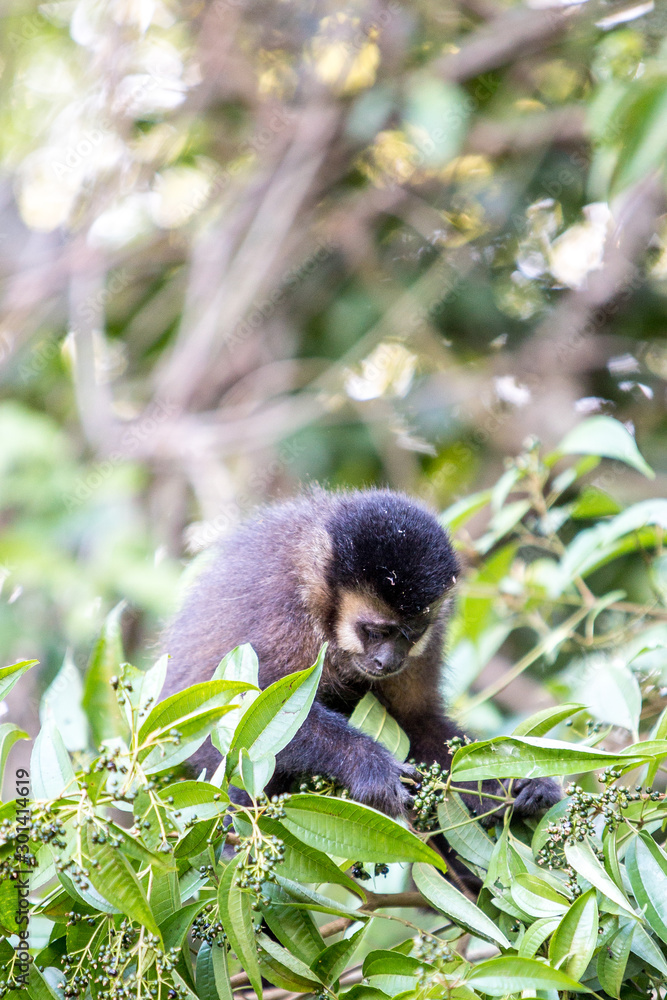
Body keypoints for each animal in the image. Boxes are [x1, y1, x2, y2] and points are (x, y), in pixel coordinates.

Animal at [164, 487, 561, 879]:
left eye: (411, 634)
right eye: (374, 632)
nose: (389, 661)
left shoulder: (430, 638)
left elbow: (417, 721)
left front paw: (514, 782)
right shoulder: (285, 609)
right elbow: (246, 713)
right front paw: (369, 766)